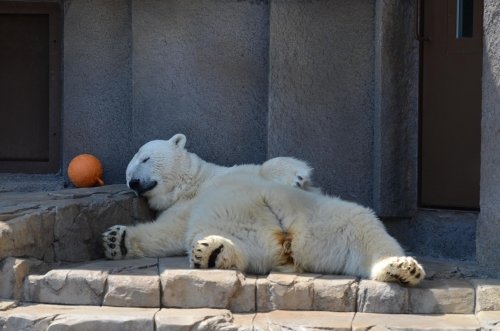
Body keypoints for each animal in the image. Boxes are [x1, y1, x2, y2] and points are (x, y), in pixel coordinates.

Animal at [103, 134, 424, 286]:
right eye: (129, 171)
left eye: (144, 158)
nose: (133, 183)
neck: (196, 183)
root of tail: (288, 247)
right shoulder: (184, 208)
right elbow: (165, 233)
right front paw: (116, 240)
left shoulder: (233, 173)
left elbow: (267, 165)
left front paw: (295, 176)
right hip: (251, 238)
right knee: (232, 248)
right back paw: (212, 251)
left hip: (323, 219)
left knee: (363, 227)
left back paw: (401, 268)